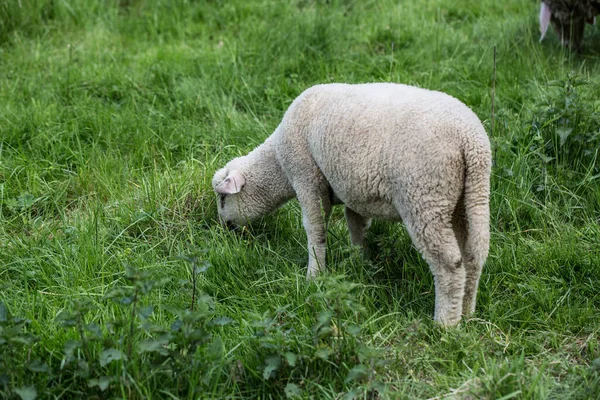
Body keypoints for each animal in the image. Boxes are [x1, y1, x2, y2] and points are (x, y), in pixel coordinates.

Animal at [213, 83, 490, 326]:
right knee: (474, 255)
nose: (226, 229)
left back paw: (445, 324)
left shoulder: (307, 178)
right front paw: (360, 262)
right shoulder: (355, 191)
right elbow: (356, 225)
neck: (278, 167)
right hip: (467, 200)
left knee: (449, 264)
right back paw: (467, 312)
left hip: (424, 196)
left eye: (223, 198)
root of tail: (471, 142)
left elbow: (315, 230)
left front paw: (314, 276)